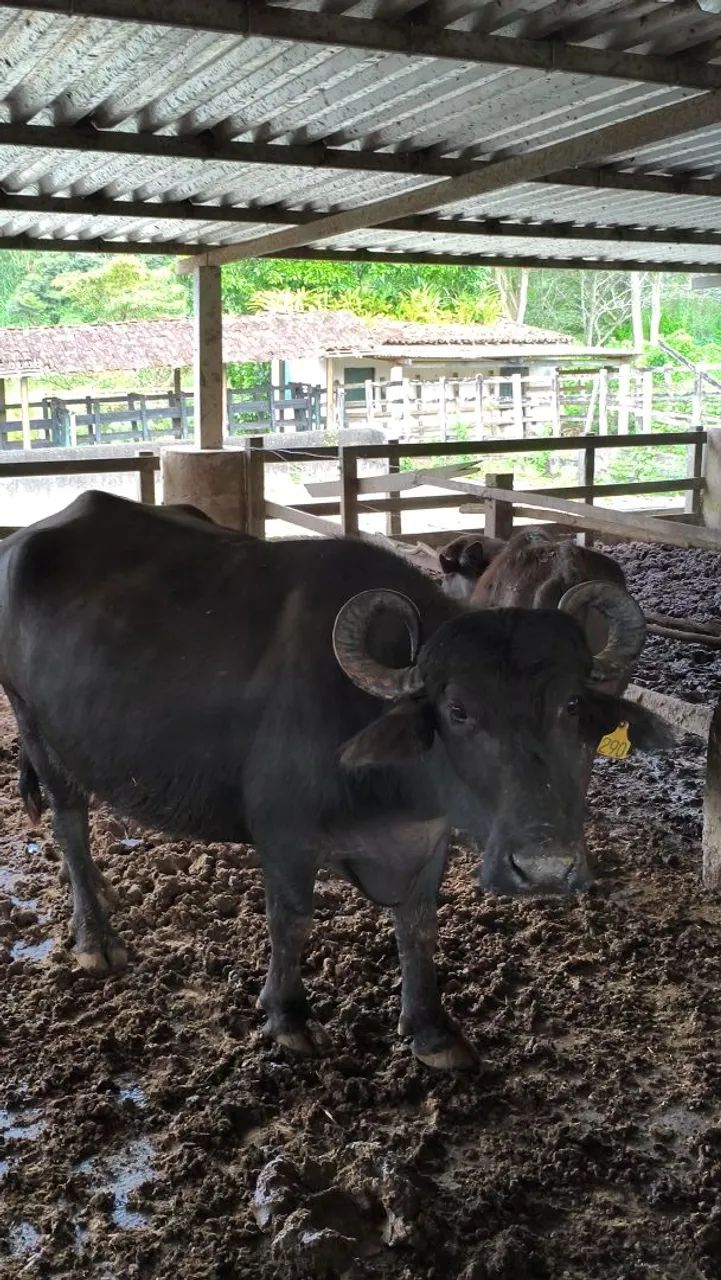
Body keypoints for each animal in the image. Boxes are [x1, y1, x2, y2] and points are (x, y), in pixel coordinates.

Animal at [0, 493, 670, 1069]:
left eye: (573, 706)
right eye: (458, 710)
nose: (547, 868)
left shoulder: (429, 839)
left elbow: (419, 924)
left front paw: (432, 1029)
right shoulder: (283, 835)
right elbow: (292, 919)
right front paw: (289, 1016)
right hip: (36, 728)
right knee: (69, 821)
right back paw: (95, 935)